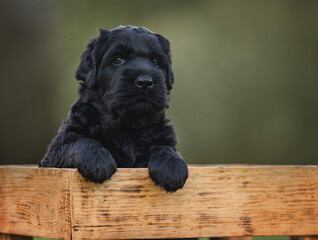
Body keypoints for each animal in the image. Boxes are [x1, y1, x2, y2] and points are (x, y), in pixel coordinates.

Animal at [39, 25, 189, 192]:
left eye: (156, 61)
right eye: (118, 59)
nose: (145, 82)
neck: (127, 125)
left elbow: (165, 147)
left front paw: (173, 167)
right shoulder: (54, 152)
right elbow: (81, 141)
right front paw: (97, 160)